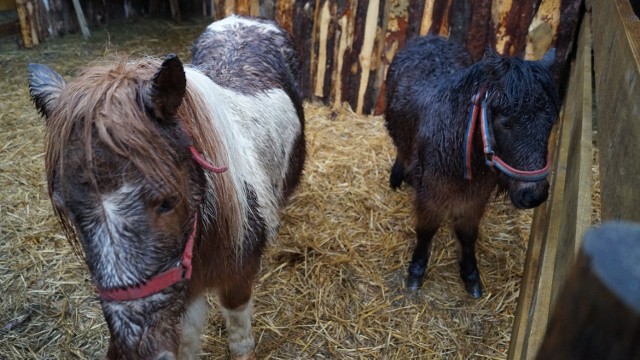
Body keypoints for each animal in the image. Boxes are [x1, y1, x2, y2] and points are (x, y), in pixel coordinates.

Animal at [30, 15, 308, 358]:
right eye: (67, 209)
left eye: (167, 202)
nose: (139, 351)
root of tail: (243, 19)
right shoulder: (184, 290)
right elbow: (187, 337)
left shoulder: (239, 277)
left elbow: (238, 326)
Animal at [384, 35, 560, 298]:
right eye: (505, 123)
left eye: (550, 121)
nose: (534, 195)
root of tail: (430, 38)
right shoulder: (429, 196)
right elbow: (425, 232)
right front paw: (416, 272)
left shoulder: (475, 199)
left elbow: (467, 237)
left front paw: (470, 276)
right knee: (402, 152)